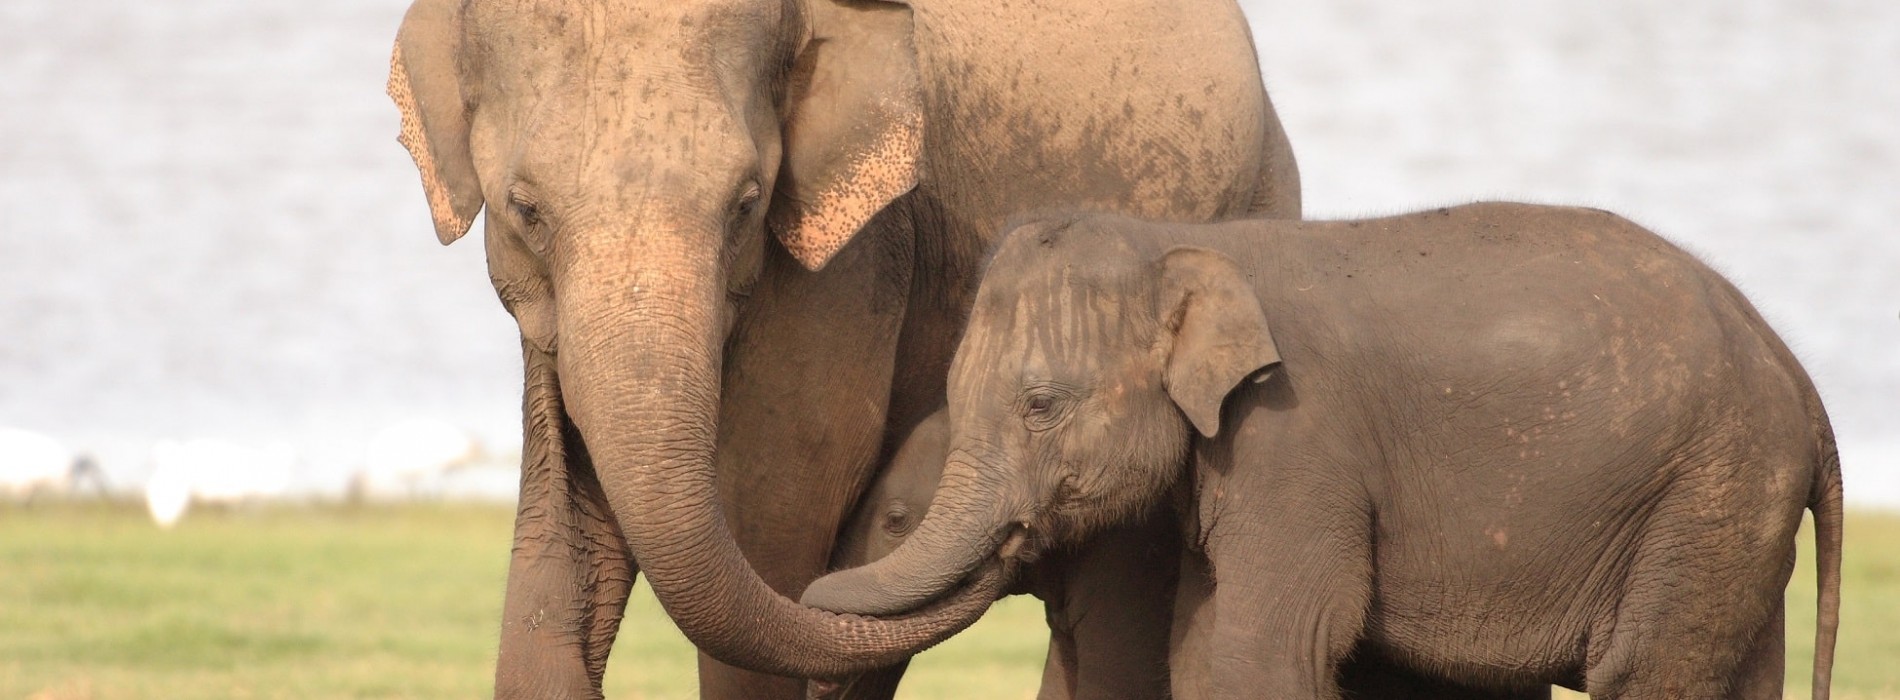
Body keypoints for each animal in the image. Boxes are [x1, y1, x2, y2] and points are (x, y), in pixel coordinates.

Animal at [801, 202, 1839, 700]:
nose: (808, 586)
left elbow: (1277, 644)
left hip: (1710, 485)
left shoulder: (1296, 441)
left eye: (1040, 406)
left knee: (1649, 673)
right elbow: (1198, 650)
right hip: (1730, 509)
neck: (1182, 244)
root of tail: (1798, 373)